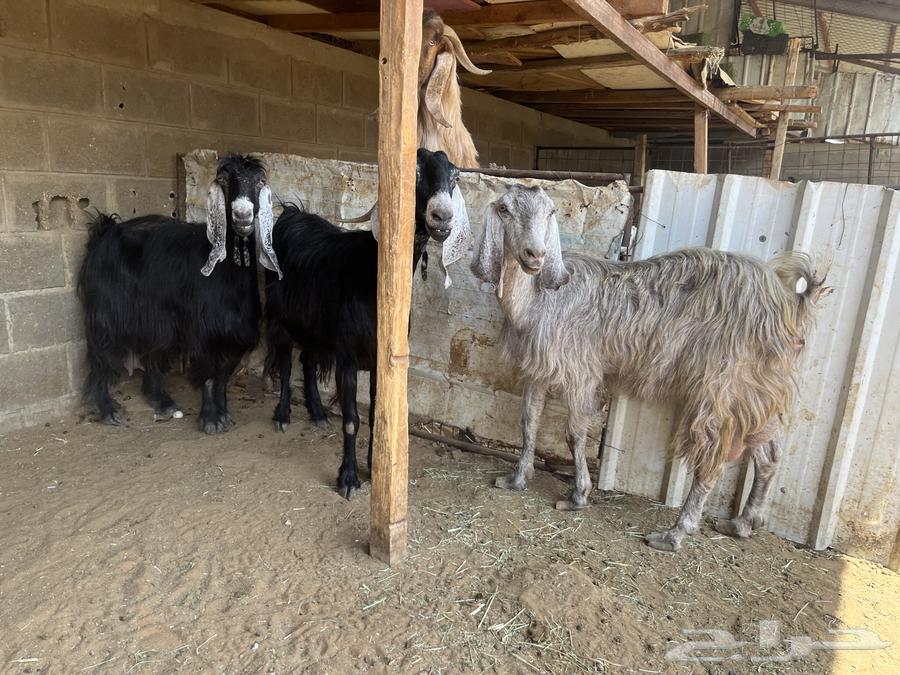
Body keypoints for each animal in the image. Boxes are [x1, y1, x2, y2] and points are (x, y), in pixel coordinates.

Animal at [78, 154, 281, 433]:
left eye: (260, 181)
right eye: (222, 179)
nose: (242, 215)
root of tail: (104, 232)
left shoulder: (235, 332)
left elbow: (222, 374)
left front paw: (224, 414)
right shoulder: (203, 330)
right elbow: (208, 373)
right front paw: (211, 420)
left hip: (154, 318)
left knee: (151, 350)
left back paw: (162, 402)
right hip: (106, 312)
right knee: (101, 354)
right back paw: (108, 410)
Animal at [265, 149, 466, 499]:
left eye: (454, 176)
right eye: (413, 171)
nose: (442, 218)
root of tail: (290, 214)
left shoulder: (379, 362)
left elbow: (375, 414)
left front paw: (375, 465)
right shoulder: (347, 356)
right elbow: (351, 419)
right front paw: (347, 477)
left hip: (314, 324)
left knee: (307, 359)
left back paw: (317, 413)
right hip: (280, 317)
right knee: (287, 362)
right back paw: (283, 415)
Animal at [472, 184, 827, 552]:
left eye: (551, 211)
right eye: (504, 209)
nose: (536, 255)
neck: (538, 301)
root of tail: (790, 302)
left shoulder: (581, 369)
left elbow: (574, 433)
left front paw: (578, 495)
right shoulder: (538, 369)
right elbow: (528, 422)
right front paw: (516, 478)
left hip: (721, 385)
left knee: (712, 456)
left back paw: (675, 533)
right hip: (755, 387)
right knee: (768, 452)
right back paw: (742, 522)